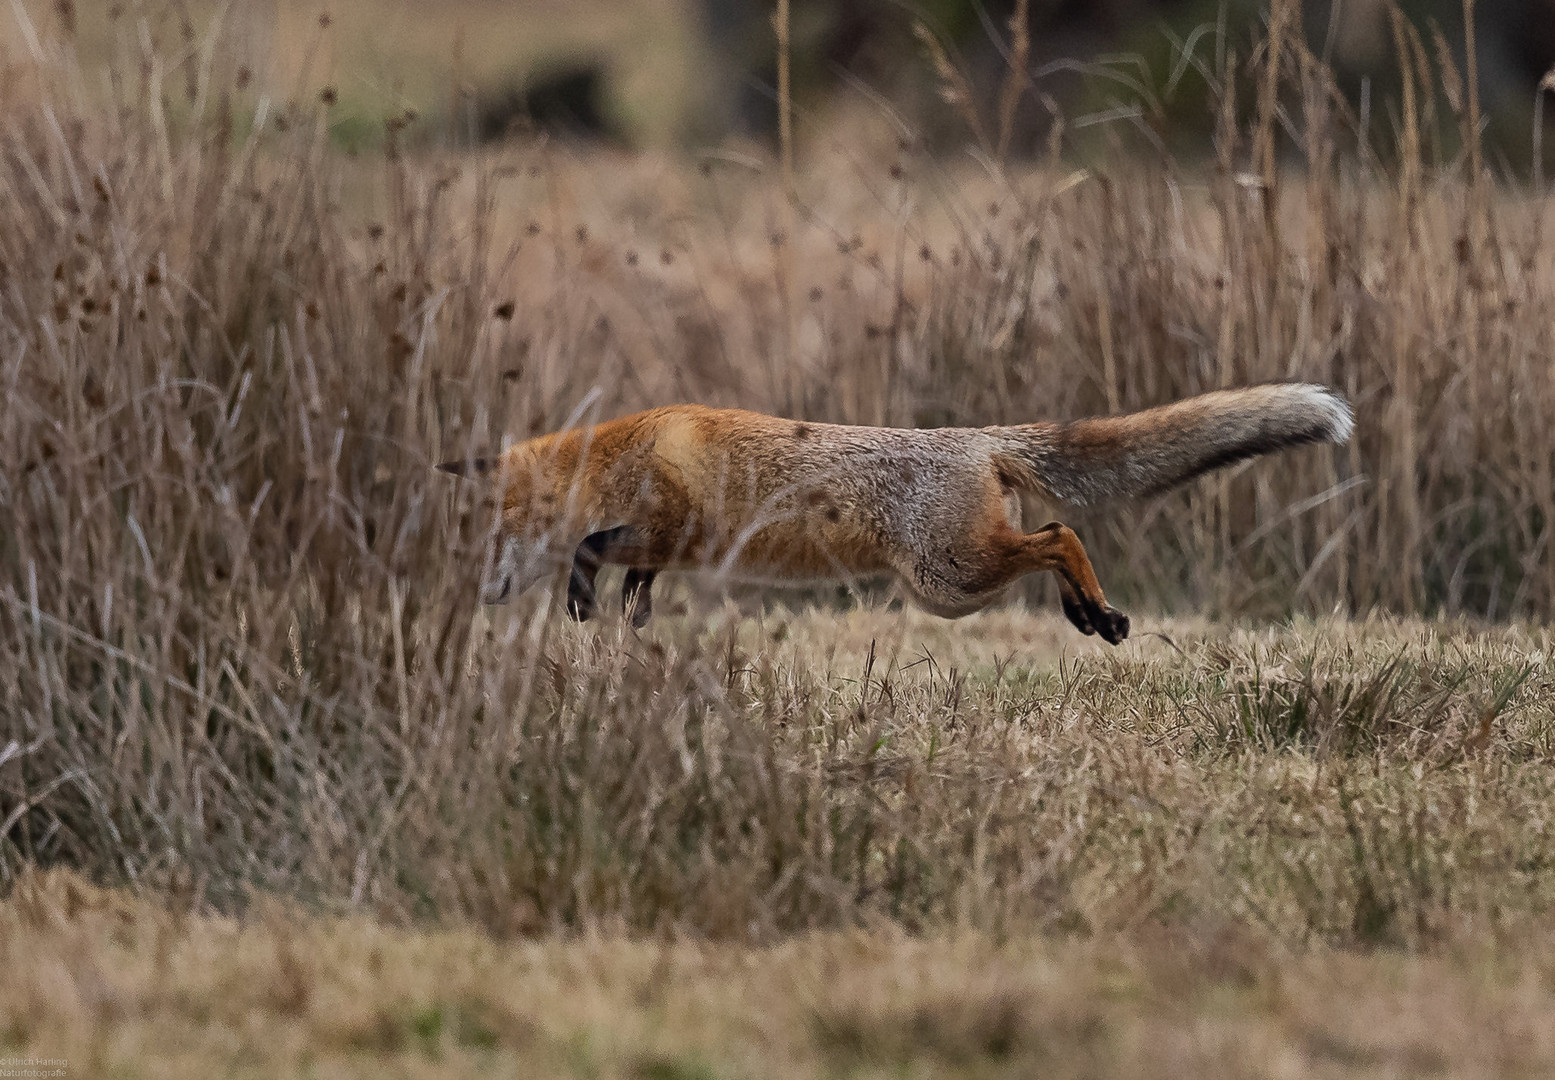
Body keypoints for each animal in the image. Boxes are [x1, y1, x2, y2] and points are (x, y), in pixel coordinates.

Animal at [438, 382, 1349, 643]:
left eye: (494, 538)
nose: (480, 593)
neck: (614, 457)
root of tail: (975, 440)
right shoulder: (664, 550)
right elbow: (636, 592)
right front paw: (628, 640)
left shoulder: (658, 528)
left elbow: (588, 549)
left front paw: (578, 604)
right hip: (954, 579)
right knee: (1051, 537)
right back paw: (1086, 613)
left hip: (947, 580)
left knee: (1058, 534)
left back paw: (1098, 613)